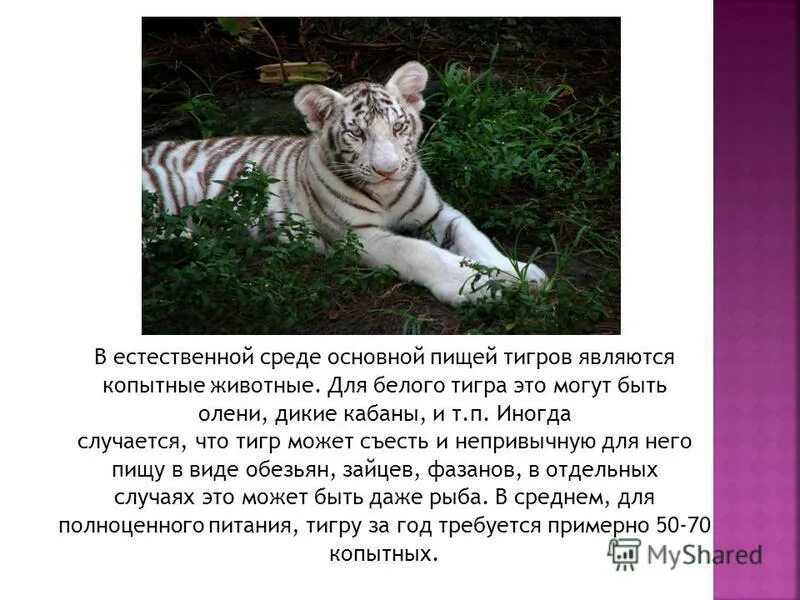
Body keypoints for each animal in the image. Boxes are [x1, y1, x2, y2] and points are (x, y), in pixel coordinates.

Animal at [142, 61, 547, 306]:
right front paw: (479, 286)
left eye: (398, 126)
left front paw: (518, 271)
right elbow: (421, 253)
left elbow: (474, 235)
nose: (387, 170)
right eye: (356, 133)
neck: (386, 194)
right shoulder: (360, 235)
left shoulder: (437, 213)